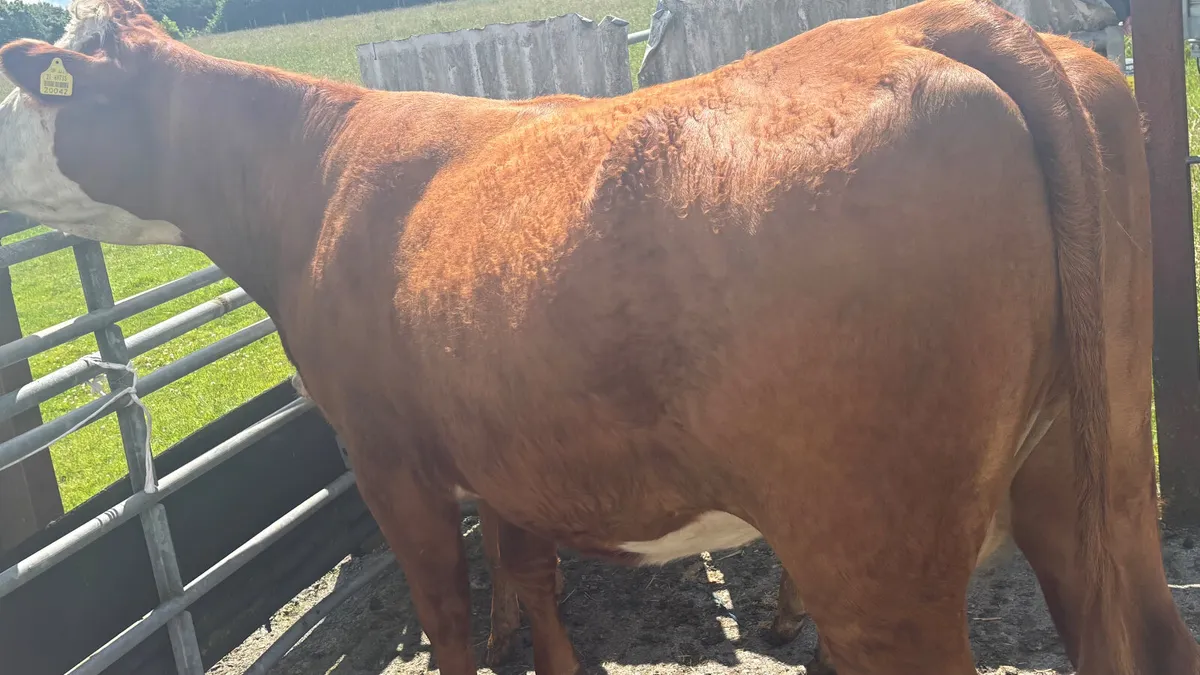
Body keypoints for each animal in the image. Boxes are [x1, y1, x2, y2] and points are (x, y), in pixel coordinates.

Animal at [1, 2, 1196, 674]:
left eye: (33, 80)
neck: (315, 174)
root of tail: (930, 22)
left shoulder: (391, 459)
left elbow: (451, 615)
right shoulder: (506, 449)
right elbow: (530, 579)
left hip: (878, 556)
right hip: (1099, 483)